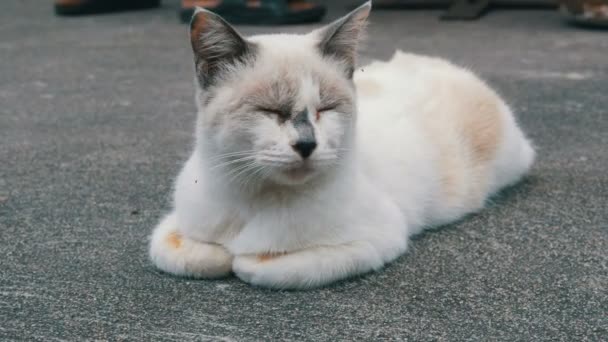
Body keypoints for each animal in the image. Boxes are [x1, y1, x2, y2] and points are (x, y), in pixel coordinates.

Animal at [150, 1, 536, 290]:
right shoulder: (173, 227)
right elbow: (188, 254)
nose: (307, 144)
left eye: (326, 109)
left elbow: (259, 266)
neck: (253, 200)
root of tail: (449, 66)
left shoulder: (376, 239)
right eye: (270, 111)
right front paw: (218, 254)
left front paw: (243, 259)